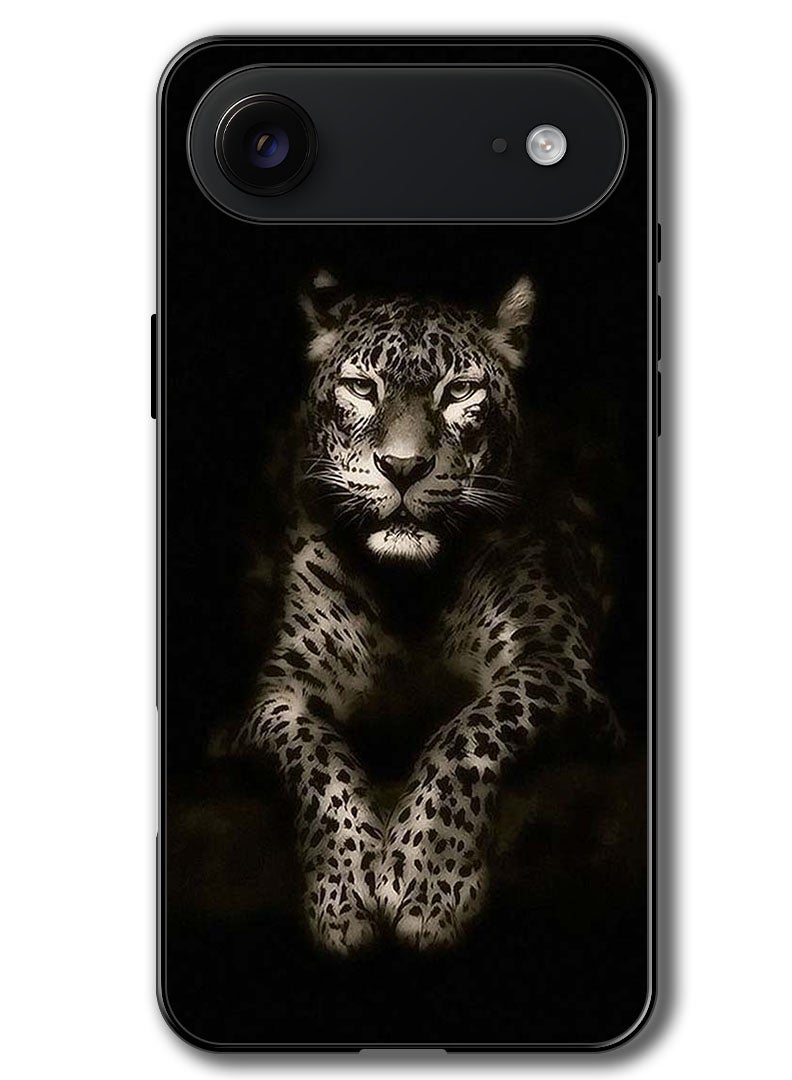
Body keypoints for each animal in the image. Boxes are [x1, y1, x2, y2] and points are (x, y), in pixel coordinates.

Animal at [234, 269, 624, 954]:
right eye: (363, 388)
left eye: (459, 391)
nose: (403, 467)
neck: (408, 592)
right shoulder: (278, 691)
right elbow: (316, 759)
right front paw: (342, 891)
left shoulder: (557, 662)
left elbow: (468, 732)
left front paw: (427, 881)